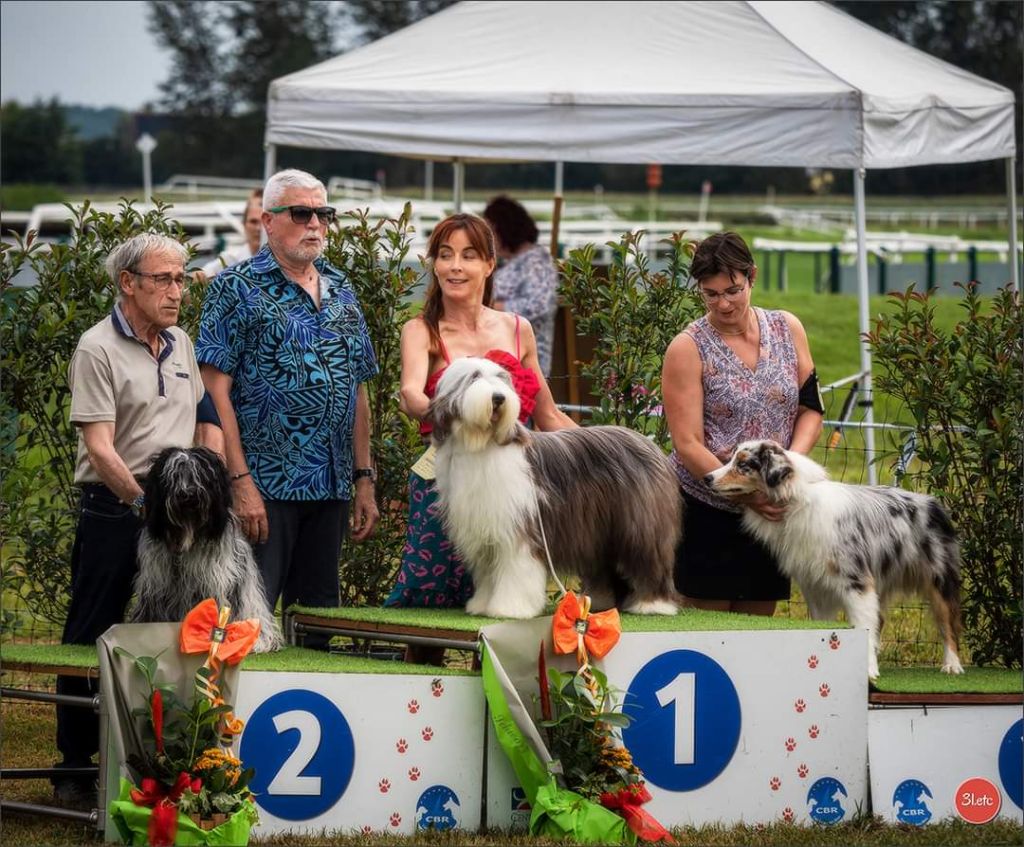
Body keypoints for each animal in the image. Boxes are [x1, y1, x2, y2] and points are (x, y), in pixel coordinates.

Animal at [132, 446, 286, 651]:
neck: (188, 536)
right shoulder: (157, 582)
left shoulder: (213, 583)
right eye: (174, 475)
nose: (188, 494)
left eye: (200, 474)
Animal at [428, 354, 684, 618]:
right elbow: (488, 573)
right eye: (474, 377)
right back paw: (602, 602)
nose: (498, 398)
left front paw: (510, 608)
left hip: (639, 525)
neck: (482, 443)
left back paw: (652, 604)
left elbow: (515, 571)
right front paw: (481, 605)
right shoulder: (486, 531)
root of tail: (649, 444)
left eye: (501, 378)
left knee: (648, 559)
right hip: (602, 529)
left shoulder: (519, 528)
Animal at [708, 440, 962, 680]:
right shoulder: (815, 586)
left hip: (939, 578)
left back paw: (952, 665)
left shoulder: (857, 583)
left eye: (743, 465)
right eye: (732, 458)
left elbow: (863, 626)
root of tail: (933, 502)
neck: (798, 501)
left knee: (948, 623)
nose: (707, 477)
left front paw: (867, 670)